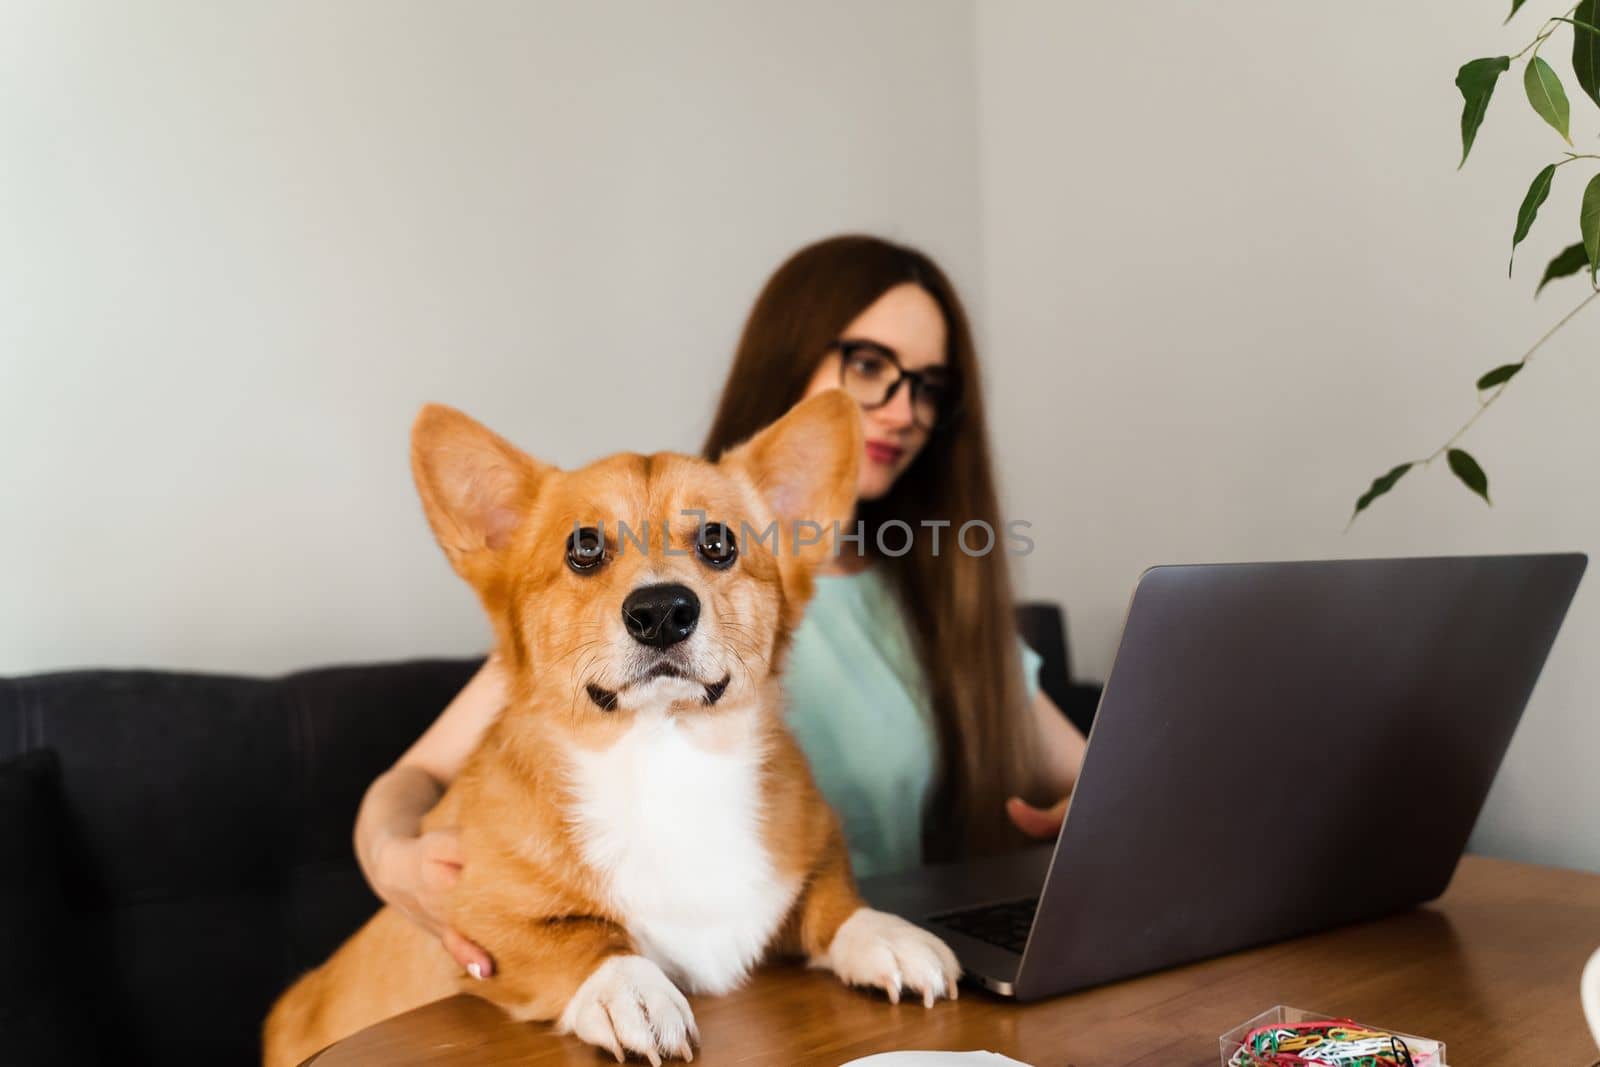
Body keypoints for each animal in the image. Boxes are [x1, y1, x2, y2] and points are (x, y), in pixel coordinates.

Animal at [264, 395, 953, 1067]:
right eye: (584, 548)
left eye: (719, 543)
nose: (662, 611)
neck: (664, 755)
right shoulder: (476, 923)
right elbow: (576, 934)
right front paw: (630, 988)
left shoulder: (808, 863)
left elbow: (832, 903)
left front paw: (886, 933)